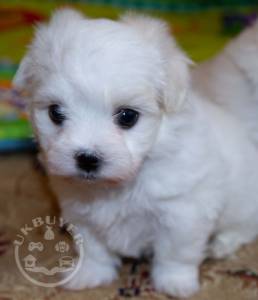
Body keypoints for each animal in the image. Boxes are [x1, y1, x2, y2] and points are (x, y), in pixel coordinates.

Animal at [13, 9, 258, 298]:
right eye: (56, 113)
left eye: (127, 116)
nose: (87, 158)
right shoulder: (80, 211)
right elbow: (93, 248)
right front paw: (90, 274)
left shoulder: (183, 214)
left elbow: (175, 254)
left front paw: (175, 283)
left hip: (244, 205)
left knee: (243, 229)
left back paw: (221, 244)